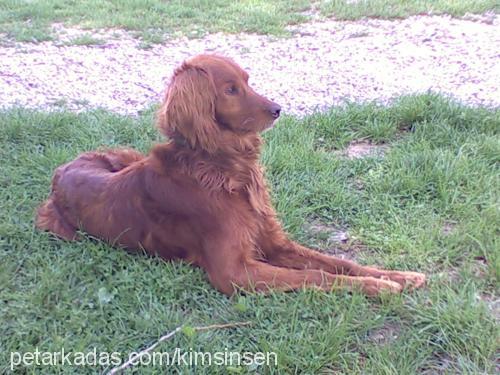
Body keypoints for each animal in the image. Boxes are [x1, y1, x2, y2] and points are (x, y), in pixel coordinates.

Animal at [36, 55, 426, 296]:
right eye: (230, 89)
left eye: (247, 81)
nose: (278, 109)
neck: (223, 170)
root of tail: (61, 169)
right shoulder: (234, 273)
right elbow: (315, 274)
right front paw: (380, 288)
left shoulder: (273, 243)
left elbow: (338, 262)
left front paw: (398, 276)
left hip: (127, 154)